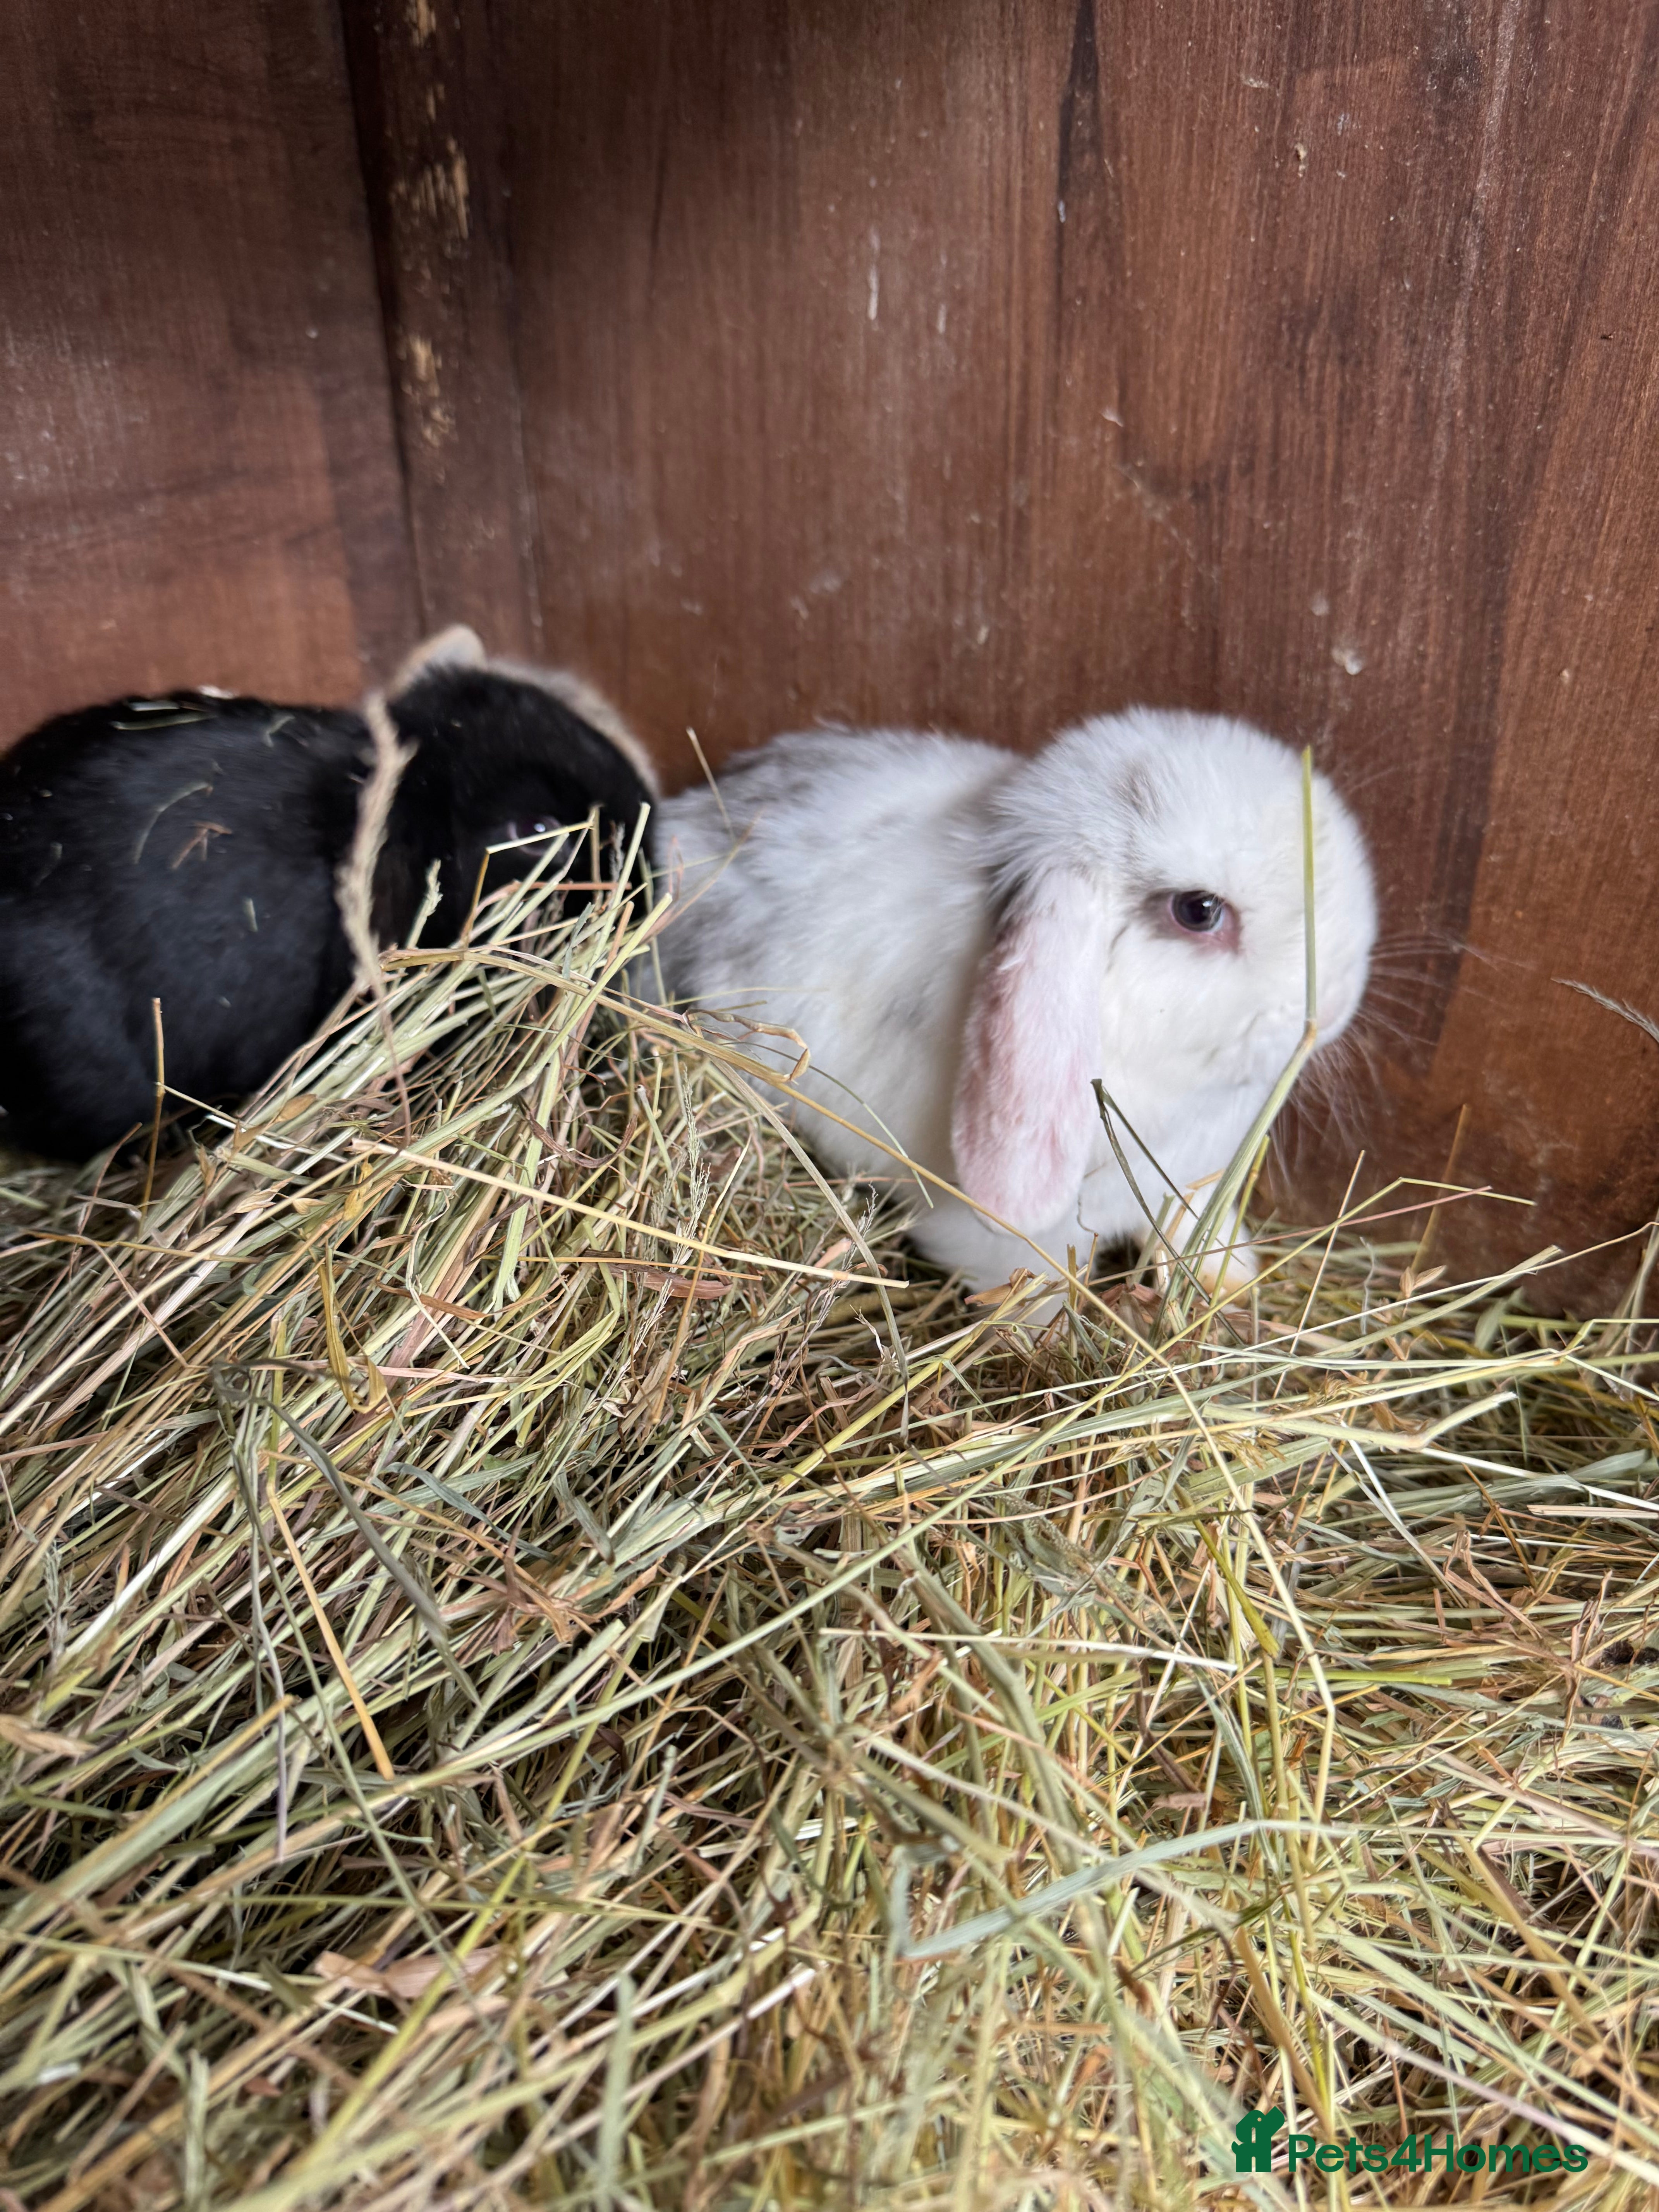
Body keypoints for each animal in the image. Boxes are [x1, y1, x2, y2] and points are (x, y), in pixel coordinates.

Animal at [654, 708, 1376, 1300]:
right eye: (1198, 911)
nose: (1341, 997)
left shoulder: (1194, 1178)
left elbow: (1198, 1224)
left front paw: (1232, 1279)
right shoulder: (1002, 1239)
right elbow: (1038, 1293)